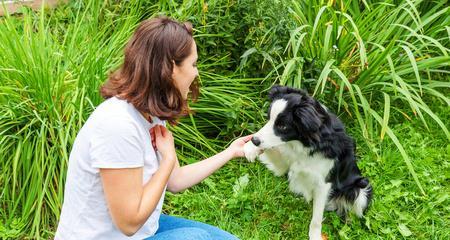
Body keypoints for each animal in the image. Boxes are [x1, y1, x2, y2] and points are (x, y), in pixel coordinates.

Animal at [244, 85, 370, 239]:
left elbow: (316, 217)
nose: (254, 140)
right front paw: (249, 148)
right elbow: (273, 148)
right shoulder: (283, 165)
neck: (305, 144)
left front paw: (315, 235)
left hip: (361, 188)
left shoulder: (323, 184)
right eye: (269, 119)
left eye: (283, 126)